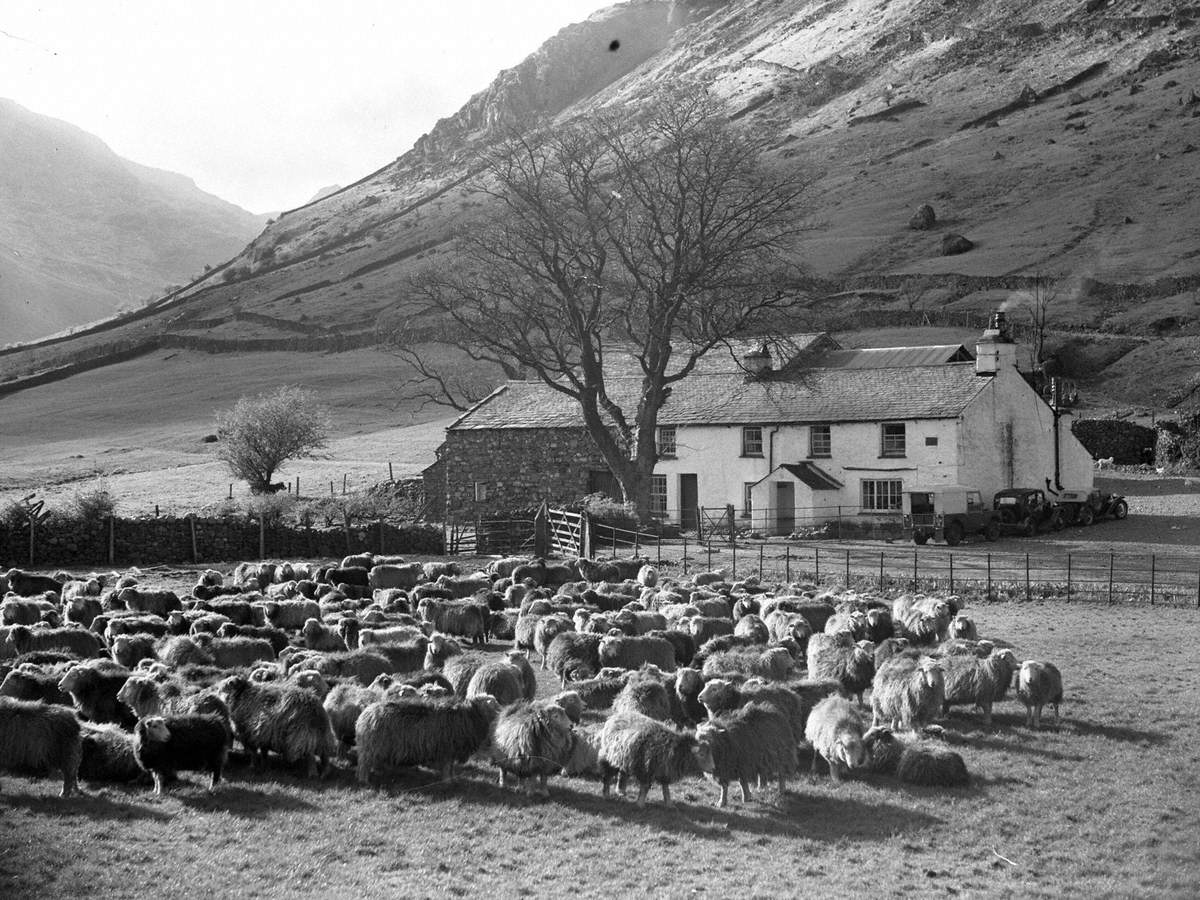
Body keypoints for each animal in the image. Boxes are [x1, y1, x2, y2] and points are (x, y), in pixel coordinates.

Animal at [357, 696, 504, 787]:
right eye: (494, 703)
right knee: (364, 764)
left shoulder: (450, 751)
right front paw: (448, 782)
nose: (503, 711)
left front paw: (453, 780)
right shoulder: (447, 750)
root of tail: (366, 713)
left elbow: (451, 767)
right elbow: (447, 767)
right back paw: (365, 780)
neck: (470, 715)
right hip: (372, 747)